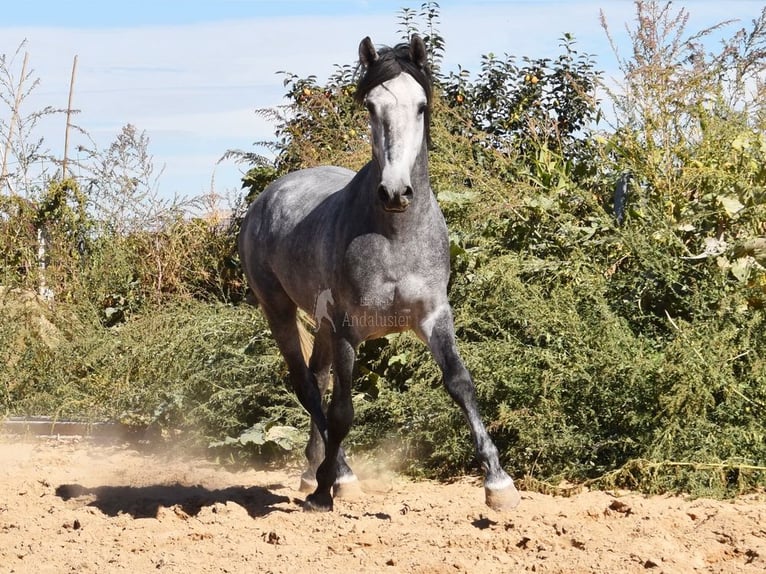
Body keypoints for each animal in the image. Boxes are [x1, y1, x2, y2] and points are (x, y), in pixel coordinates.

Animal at [237, 35, 520, 512]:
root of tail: (268, 197)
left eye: (421, 106)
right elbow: (342, 411)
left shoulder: (434, 317)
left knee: (317, 379)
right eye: (371, 106)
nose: (395, 192)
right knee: (308, 387)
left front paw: (498, 484)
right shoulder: (349, 330)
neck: (394, 238)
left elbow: (461, 384)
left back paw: (312, 471)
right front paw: (327, 491)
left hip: (322, 324)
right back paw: (335, 475)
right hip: (279, 311)